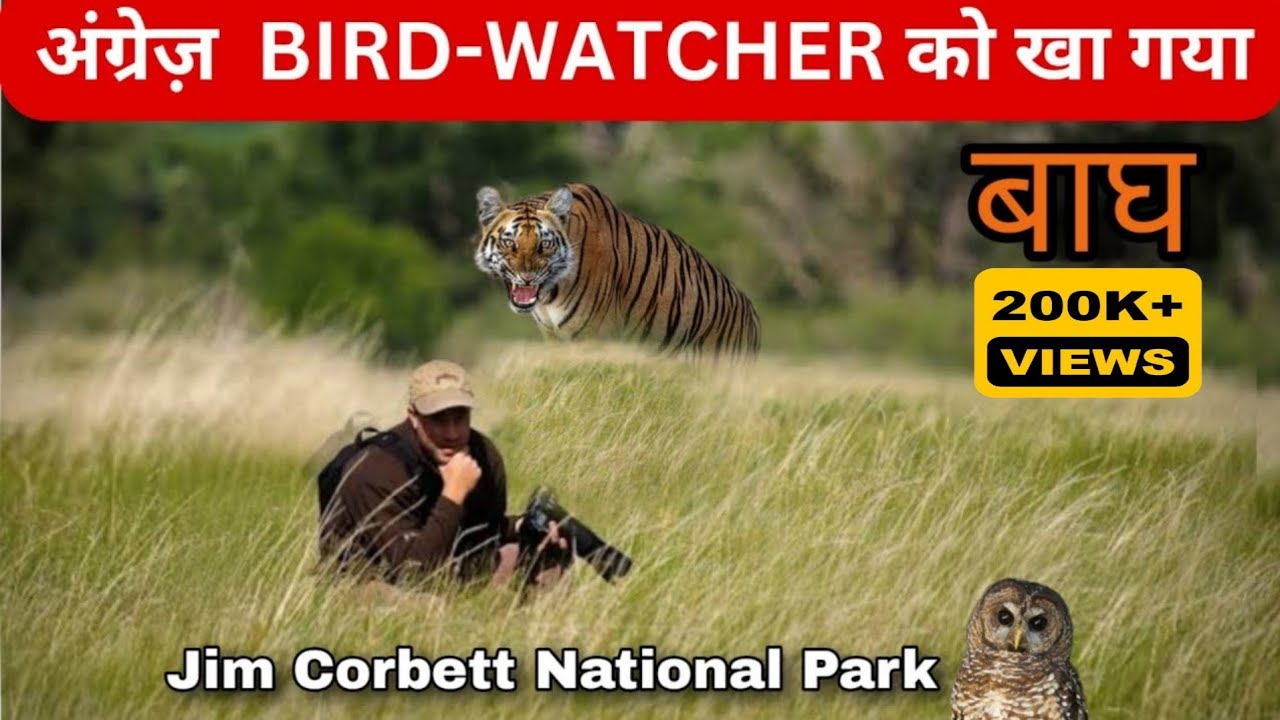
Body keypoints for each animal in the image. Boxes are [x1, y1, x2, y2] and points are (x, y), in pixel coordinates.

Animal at [472, 182, 762, 361]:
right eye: (509, 242)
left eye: (545, 244)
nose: (527, 276)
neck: (549, 295)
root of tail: (751, 312)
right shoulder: (553, 337)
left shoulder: (593, 336)